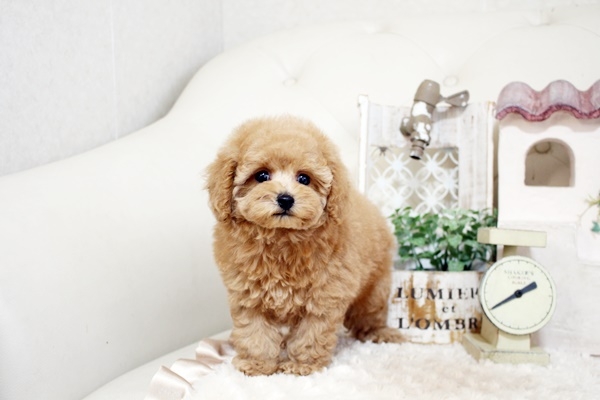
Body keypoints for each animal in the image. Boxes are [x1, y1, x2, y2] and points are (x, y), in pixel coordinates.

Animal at [206, 116, 403, 376]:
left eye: (304, 179)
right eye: (261, 176)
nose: (285, 199)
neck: (281, 239)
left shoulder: (325, 295)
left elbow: (311, 334)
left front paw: (301, 365)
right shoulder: (247, 295)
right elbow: (255, 332)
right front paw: (257, 363)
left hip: (375, 288)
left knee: (369, 315)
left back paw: (380, 333)